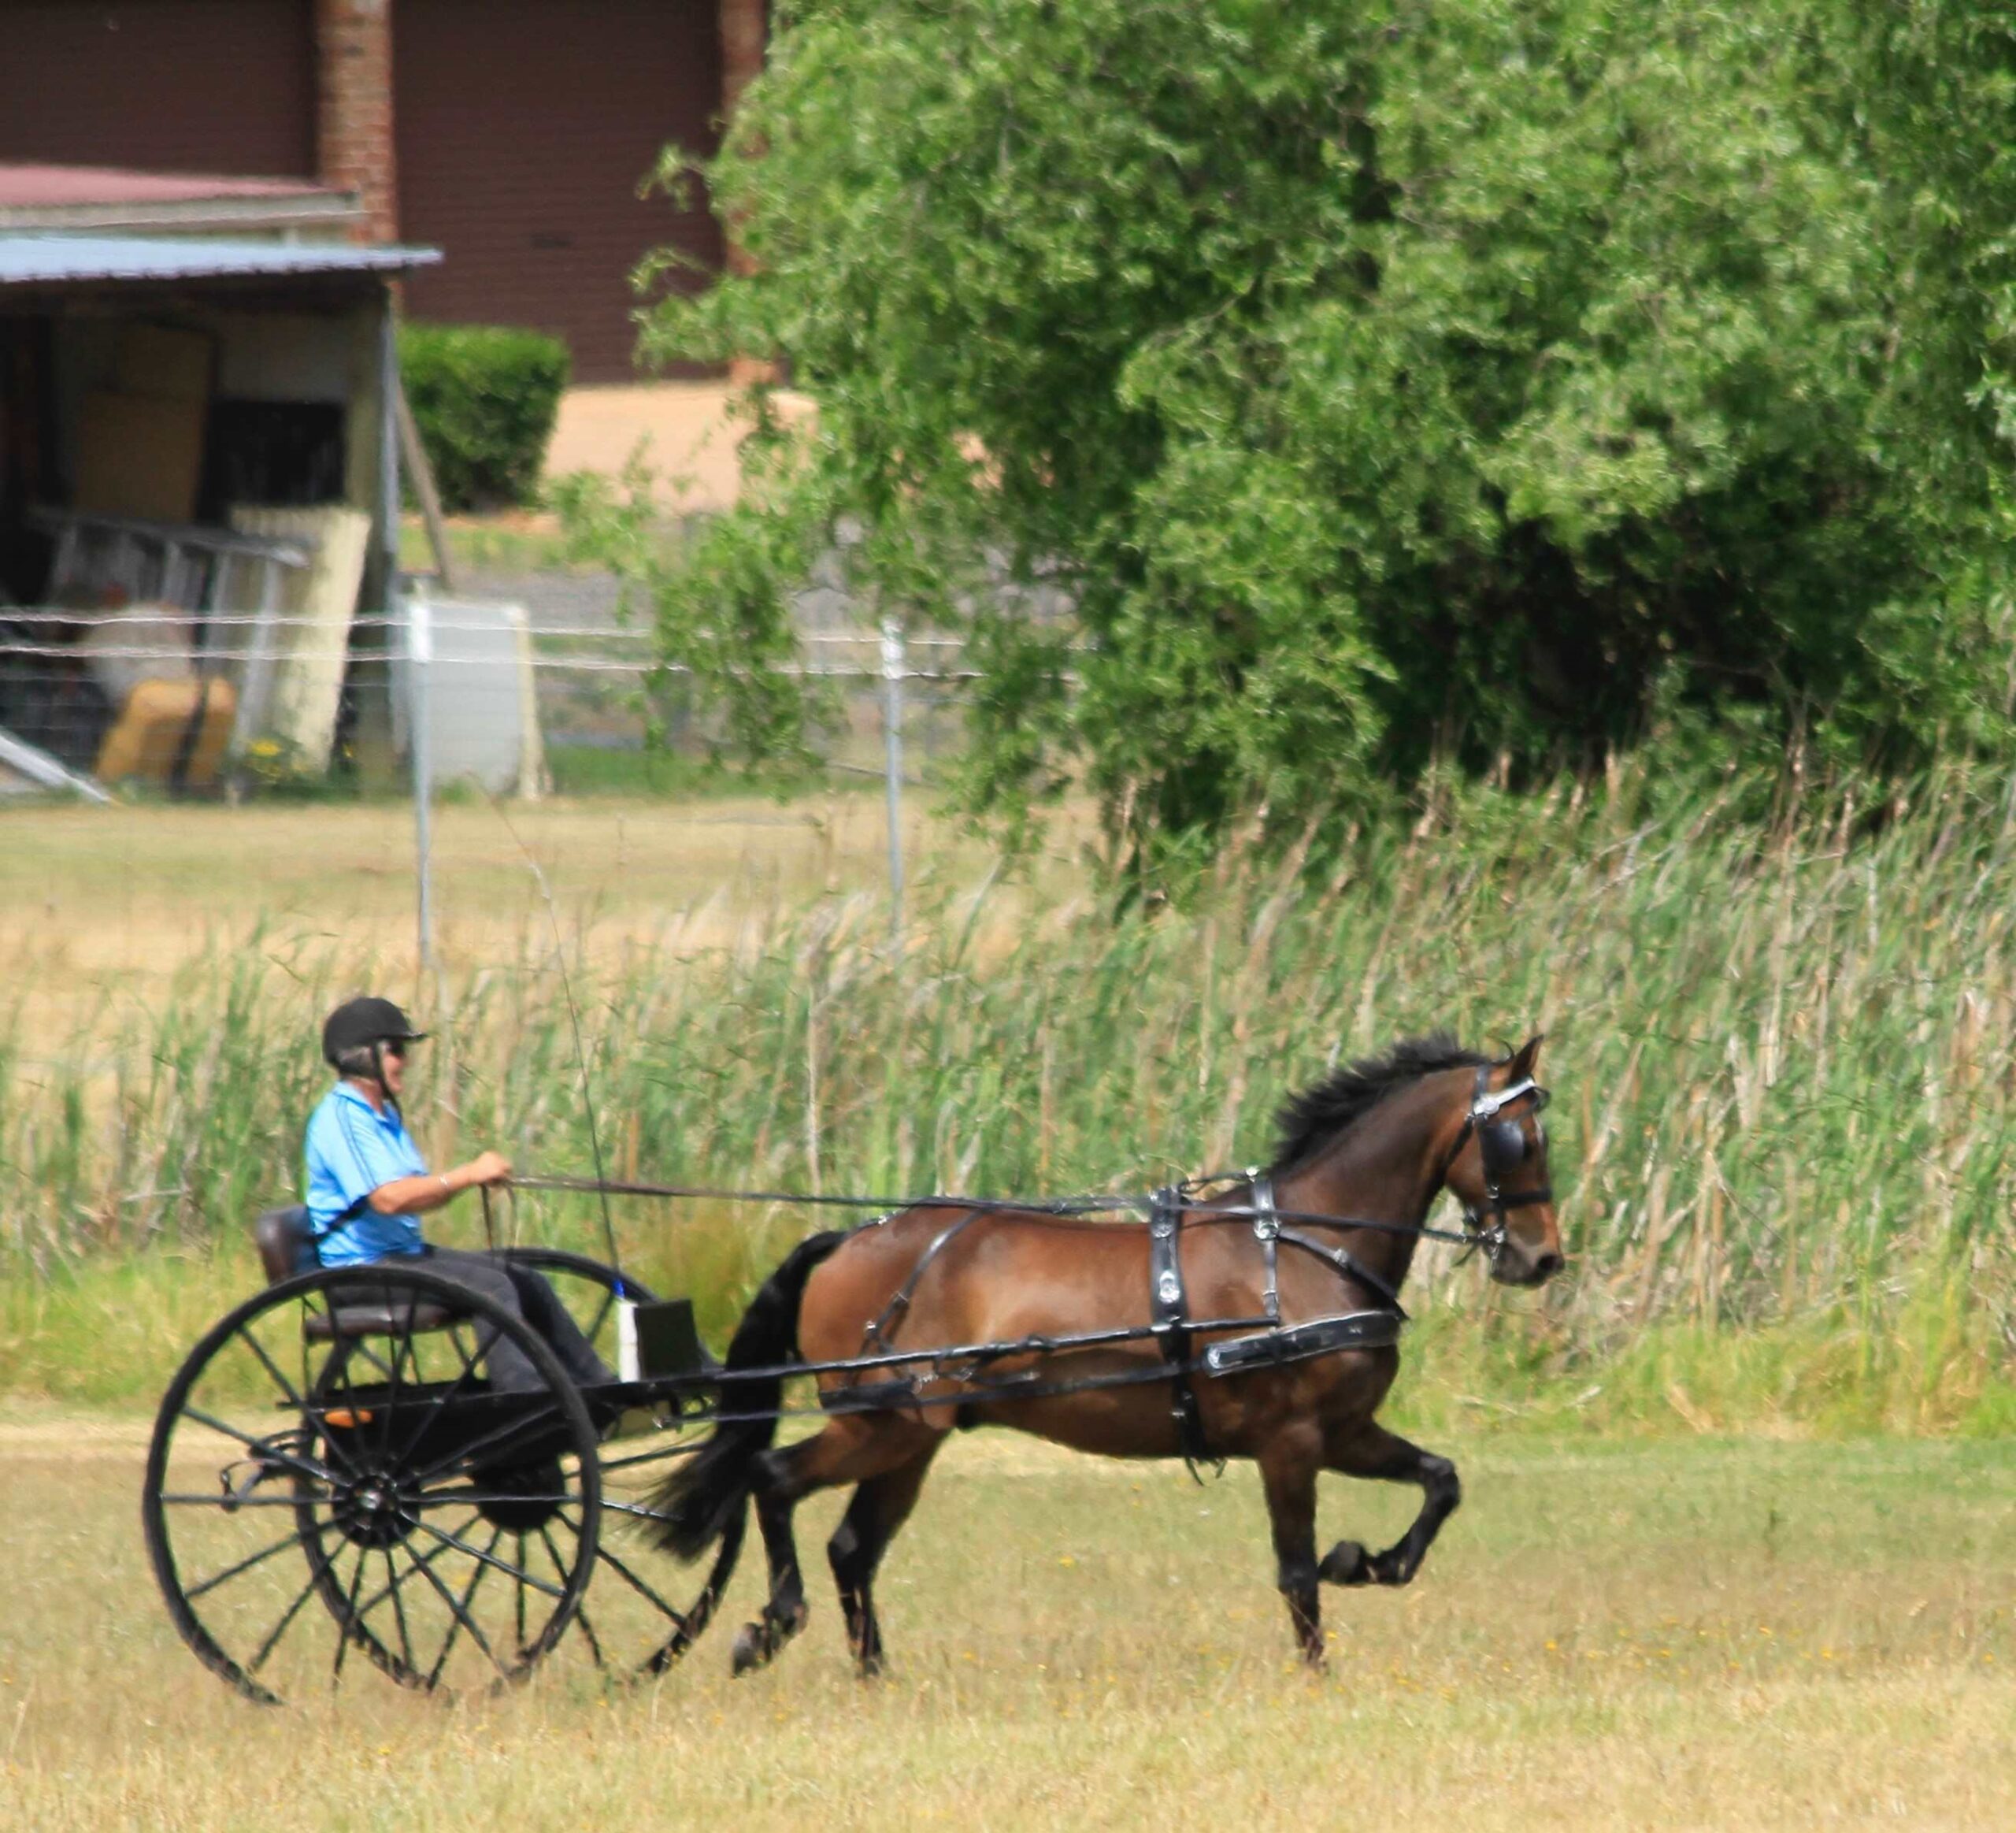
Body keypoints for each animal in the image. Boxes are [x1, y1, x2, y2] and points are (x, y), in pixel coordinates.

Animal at [653, 1028, 1564, 1669]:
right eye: (1519, 1139)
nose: (1543, 1257)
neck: (1306, 1247)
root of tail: (852, 1237)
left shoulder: (1344, 1431)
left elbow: (1440, 1482)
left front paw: (1368, 1561)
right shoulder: (1291, 1441)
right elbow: (1297, 1573)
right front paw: (1318, 1673)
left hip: (912, 1436)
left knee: (852, 1547)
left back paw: (876, 1675)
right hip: (879, 1423)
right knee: (774, 1481)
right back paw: (773, 1623)